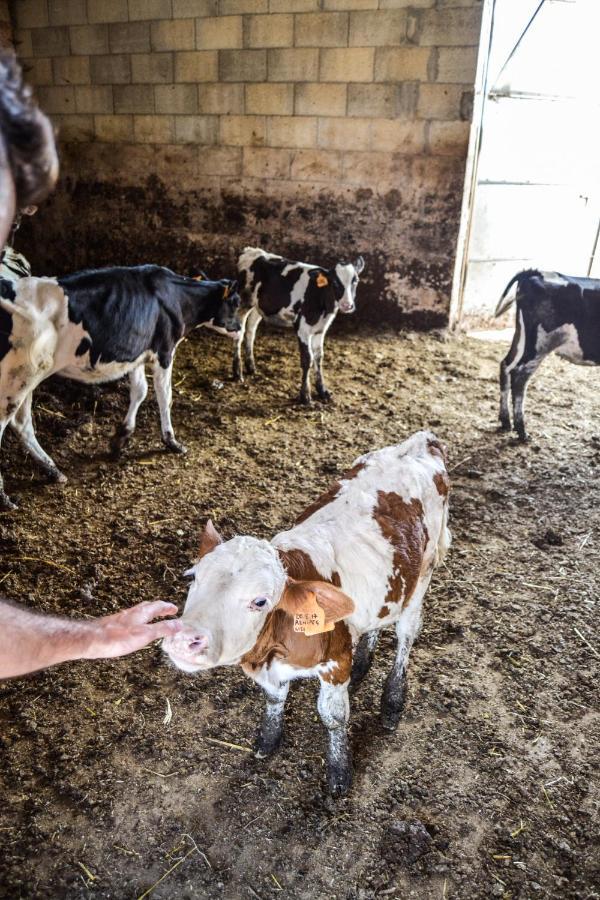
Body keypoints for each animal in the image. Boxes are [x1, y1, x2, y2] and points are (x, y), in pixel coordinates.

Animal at [0, 264, 239, 510]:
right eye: (235, 303)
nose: (239, 327)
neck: (178, 296)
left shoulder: (136, 355)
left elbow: (140, 391)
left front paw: (121, 438)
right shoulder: (164, 351)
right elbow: (165, 396)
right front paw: (171, 441)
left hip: (27, 378)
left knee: (22, 423)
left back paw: (53, 471)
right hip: (18, 377)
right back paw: (5, 498)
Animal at [164, 430, 450, 796]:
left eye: (260, 601)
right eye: (193, 577)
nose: (184, 639)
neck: (272, 648)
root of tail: (420, 442)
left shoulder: (334, 662)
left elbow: (333, 716)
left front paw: (339, 771)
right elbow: (274, 698)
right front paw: (268, 739)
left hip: (423, 575)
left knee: (405, 635)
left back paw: (392, 702)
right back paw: (363, 662)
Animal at [234, 244, 366, 402]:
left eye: (355, 280)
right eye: (334, 282)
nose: (347, 305)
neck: (321, 298)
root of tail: (250, 250)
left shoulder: (321, 329)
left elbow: (319, 357)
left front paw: (323, 391)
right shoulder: (302, 328)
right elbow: (307, 359)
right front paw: (305, 395)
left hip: (259, 307)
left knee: (250, 330)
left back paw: (251, 367)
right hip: (244, 301)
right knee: (239, 332)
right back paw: (237, 372)